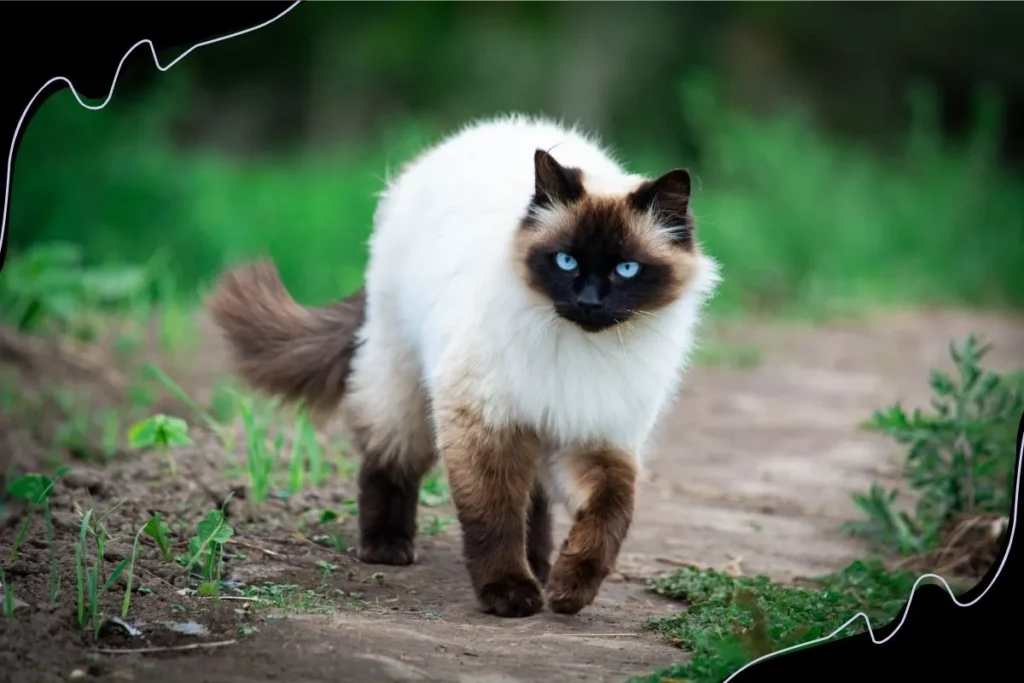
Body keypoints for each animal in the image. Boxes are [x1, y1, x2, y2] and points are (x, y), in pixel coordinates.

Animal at [205, 116, 720, 618]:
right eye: (566, 261)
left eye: (626, 269)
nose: (589, 302)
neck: (581, 350)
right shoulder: (488, 424)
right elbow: (493, 518)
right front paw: (510, 595)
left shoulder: (594, 436)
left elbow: (609, 516)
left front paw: (569, 591)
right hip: (404, 386)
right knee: (388, 463)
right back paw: (387, 546)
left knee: (534, 501)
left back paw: (540, 563)